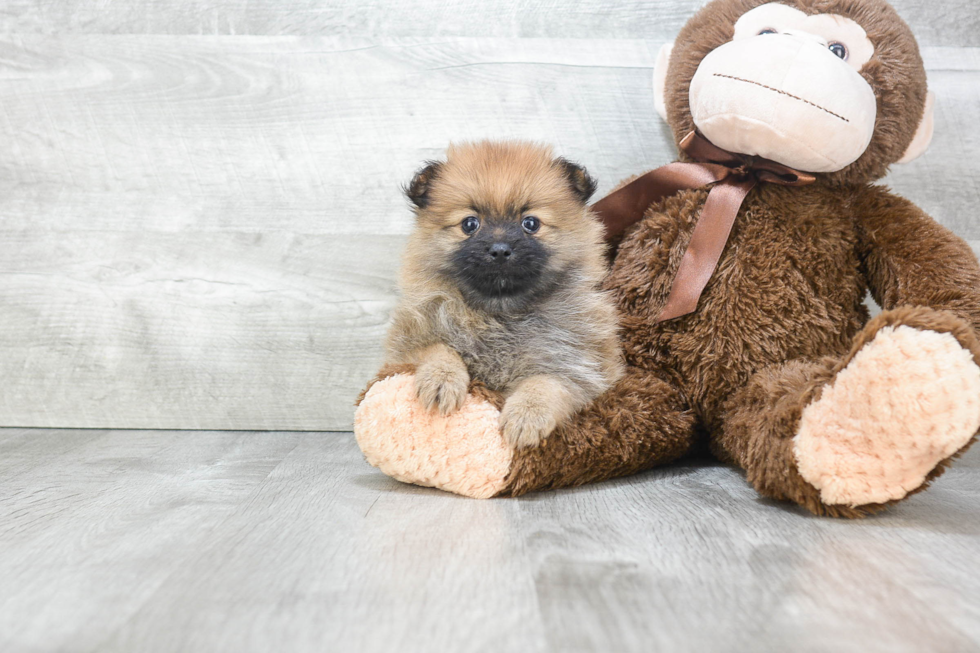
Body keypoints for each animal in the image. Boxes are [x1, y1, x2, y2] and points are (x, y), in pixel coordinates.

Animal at [380, 141, 620, 448]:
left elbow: (545, 383)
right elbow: (437, 349)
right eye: (470, 224)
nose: (500, 250)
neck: (500, 313)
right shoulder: (405, 347)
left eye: (530, 223)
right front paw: (442, 380)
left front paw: (526, 416)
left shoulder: (578, 367)